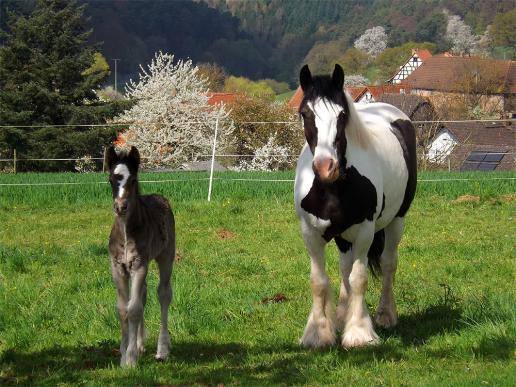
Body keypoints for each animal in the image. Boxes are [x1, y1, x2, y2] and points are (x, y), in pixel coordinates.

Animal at [106, 147, 175, 368]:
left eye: (134, 179)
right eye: (111, 179)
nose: (121, 207)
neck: (127, 232)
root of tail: (161, 198)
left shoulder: (139, 265)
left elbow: (134, 308)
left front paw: (130, 359)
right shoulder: (118, 267)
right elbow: (123, 309)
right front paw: (124, 351)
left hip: (166, 256)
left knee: (163, 294)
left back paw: (162, 350)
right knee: (143, 294)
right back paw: (139, 344)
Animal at [292, 65, 418, 350]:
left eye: (342, 114)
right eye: (305, 113)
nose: (326, 167)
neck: (331, 188)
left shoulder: (364, 231)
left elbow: (359, 279)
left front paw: (360, 333)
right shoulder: (310, 233)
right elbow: (319, 281)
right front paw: (318, 333)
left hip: (397, 221)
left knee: (388, 263)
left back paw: (385, 315)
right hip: (342, 236)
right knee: (344, 267)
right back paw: (341, 316)